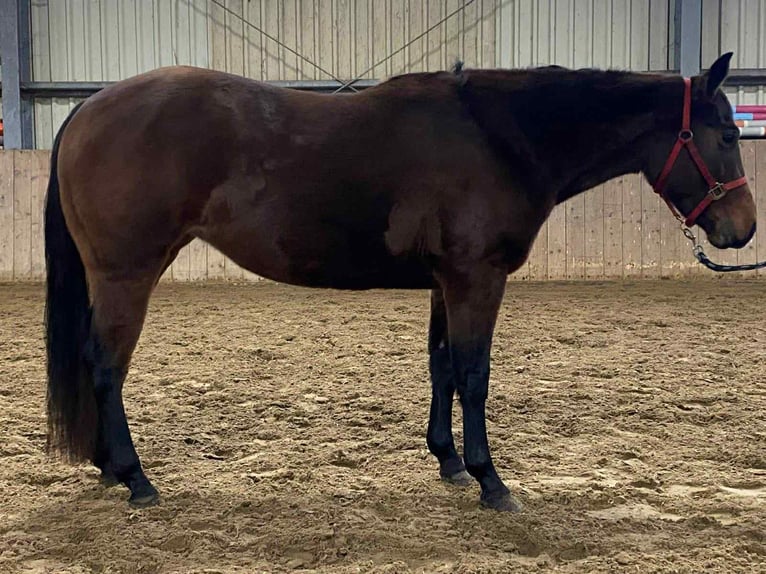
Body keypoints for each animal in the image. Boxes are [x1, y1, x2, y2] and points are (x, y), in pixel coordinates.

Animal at [45, 52, 755, 512]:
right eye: (726, 133)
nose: (742, 228)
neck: (501, 137)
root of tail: (88, 109)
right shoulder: (478, 278)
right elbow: (474, 373)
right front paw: (491, 482)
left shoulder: (448, 280)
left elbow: (441, 366)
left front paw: (449, 463)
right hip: (126, 274)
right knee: (105, 367)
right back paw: (135, 479)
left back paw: (110, 471)